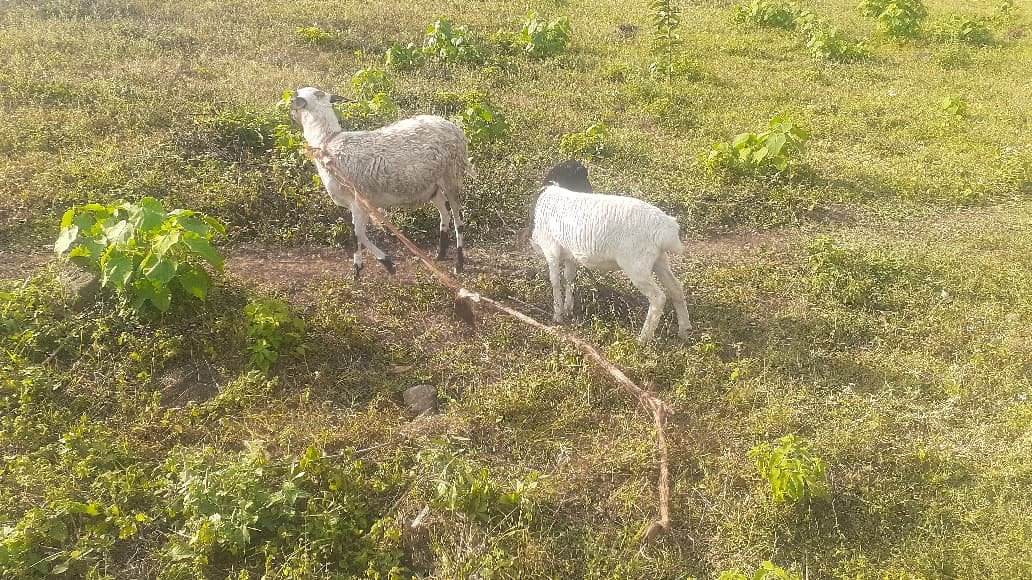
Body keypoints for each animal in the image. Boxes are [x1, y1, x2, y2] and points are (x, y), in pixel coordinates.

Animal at [289, 86, 473, 278]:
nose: (291, 114)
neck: (327, 143)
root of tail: (455, 129)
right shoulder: (360, 204)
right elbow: (359, 233)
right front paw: (385, 263)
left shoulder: (358, 201)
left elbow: (356, 234)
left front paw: (360, 269)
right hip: (431, 185)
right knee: (444, 211)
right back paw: (440, 254)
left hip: (452, 175)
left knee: (458, 219)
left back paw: (459, 264)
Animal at [529, 168, 691, 343]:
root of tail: (668, 228)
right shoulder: (570, 255)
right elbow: (569, 278)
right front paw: (568, 309)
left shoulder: (551, 249)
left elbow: (555, 281)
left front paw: (557, 315)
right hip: (659, 260)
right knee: (676, 288)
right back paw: (684, 330)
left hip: (637, 265)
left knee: (658, 298)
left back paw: (643, 339)